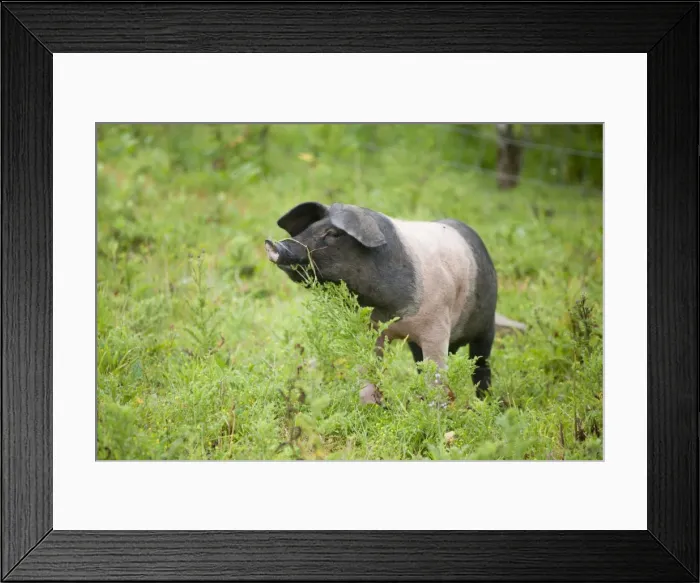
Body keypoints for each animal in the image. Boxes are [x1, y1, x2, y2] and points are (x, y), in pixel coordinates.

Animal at [264, 201, 517, 398]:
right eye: (307, 229)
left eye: (333, 234)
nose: (273, 244)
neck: (391, 314)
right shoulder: (370, 328)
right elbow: (369, 369)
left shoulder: (437, 328)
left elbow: (436, 376)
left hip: (487, 323)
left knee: (481, 365)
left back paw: (485, 401)